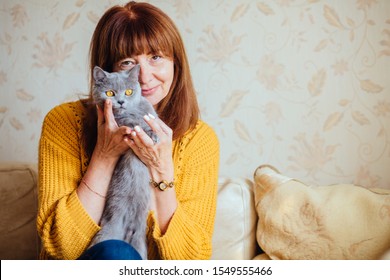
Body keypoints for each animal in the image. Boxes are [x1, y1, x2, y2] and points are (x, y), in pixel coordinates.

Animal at [87, 64, 157, 260]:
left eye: (129, 91)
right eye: (110, 93)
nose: (120, 102)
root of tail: (128, 230)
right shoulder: (122, 123)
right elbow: (134, 123)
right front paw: (149, 132)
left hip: (140, 244)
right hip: (106, 235)